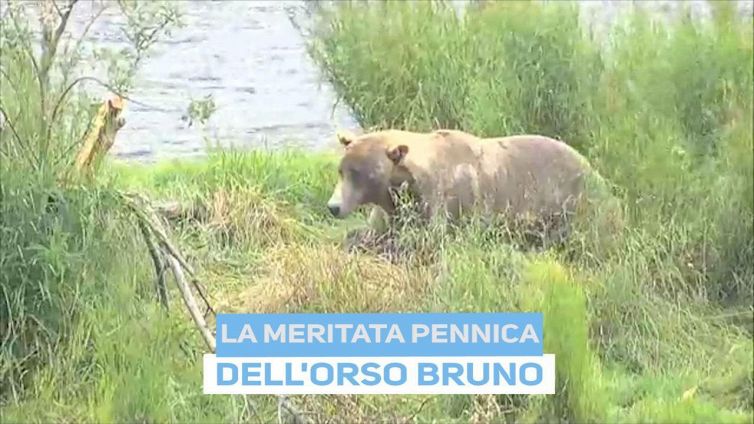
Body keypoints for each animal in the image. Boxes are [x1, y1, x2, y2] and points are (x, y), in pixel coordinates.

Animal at [327, 128, 621, 251]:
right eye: (341, 170)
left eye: (359, 173)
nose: (333, 206)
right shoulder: (391, 208)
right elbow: (373, 231)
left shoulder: (448, 199)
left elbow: (429, 237)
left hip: (575, 203)